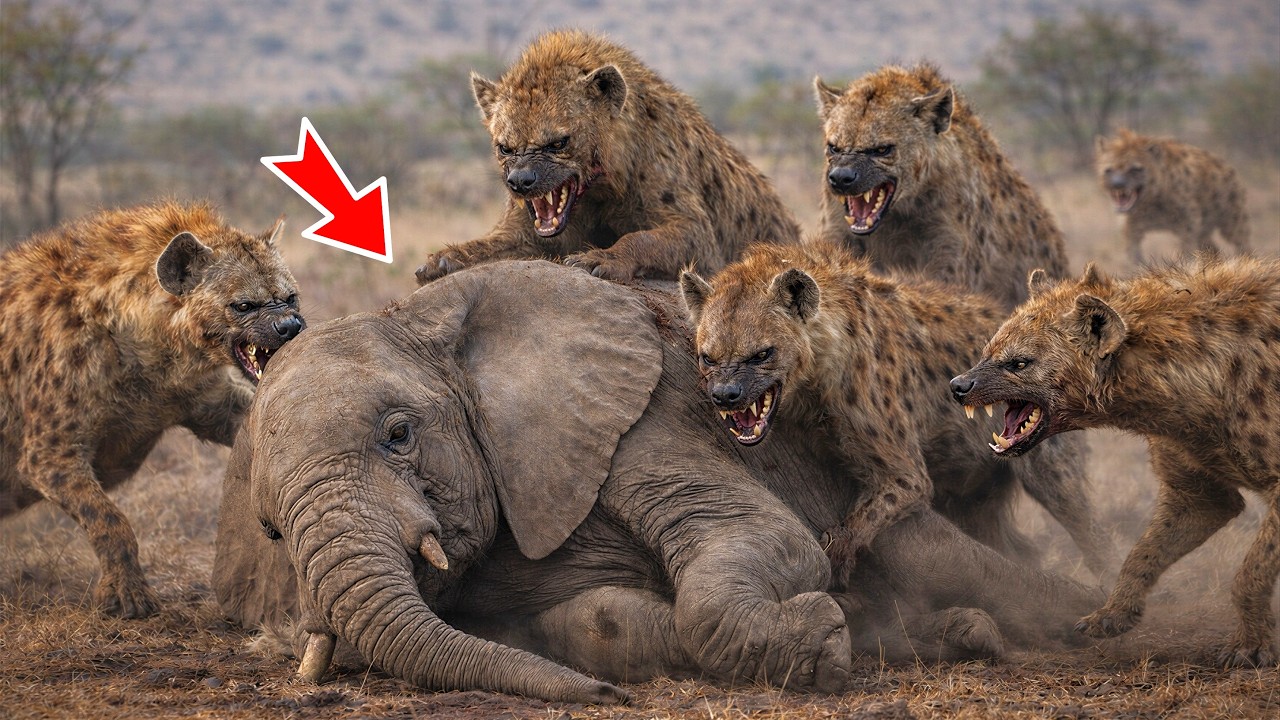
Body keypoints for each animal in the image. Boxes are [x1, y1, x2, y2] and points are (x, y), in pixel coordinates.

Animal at [213, 260, 1104, 704]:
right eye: (269, 528)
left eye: (399, 437)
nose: (606, 701)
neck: (425, 322)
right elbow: (596, 623)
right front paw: (832, 629)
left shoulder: (642, 410)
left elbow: (776, 541)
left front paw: (819, 636)